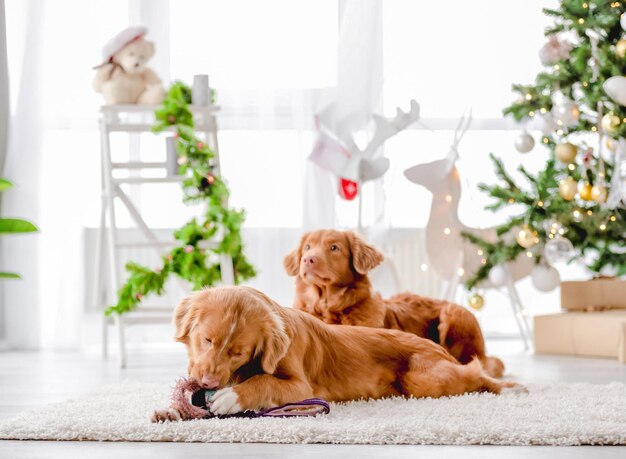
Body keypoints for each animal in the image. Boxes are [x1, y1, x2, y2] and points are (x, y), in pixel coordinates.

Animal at [151, 288, 520, 424]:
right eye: (206, 339)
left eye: (238, 352)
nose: (206, 381)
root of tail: (438, 347)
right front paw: (173, 410)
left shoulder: (302, 387)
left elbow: (264, 381)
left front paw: (231, 397)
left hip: (424, 378)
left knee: (475, 372)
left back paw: (510, 387)